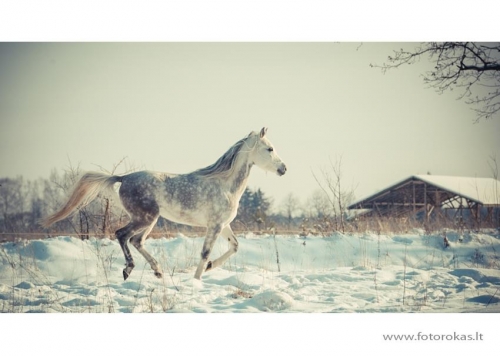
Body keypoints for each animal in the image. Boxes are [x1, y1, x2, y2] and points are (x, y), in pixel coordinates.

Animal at [42, 128, 288, 280]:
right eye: (270, 148)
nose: (284, 168)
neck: (225, 185)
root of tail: (124, 177)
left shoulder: (224, 225)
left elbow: (235, 246)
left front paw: (209, 268)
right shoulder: (215, 226)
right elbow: (205, 252)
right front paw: (197, 278)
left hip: (150, 220)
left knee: (136, 240)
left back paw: (158, 271)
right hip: (145, 218)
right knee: (122, 235)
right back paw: (129, 270)